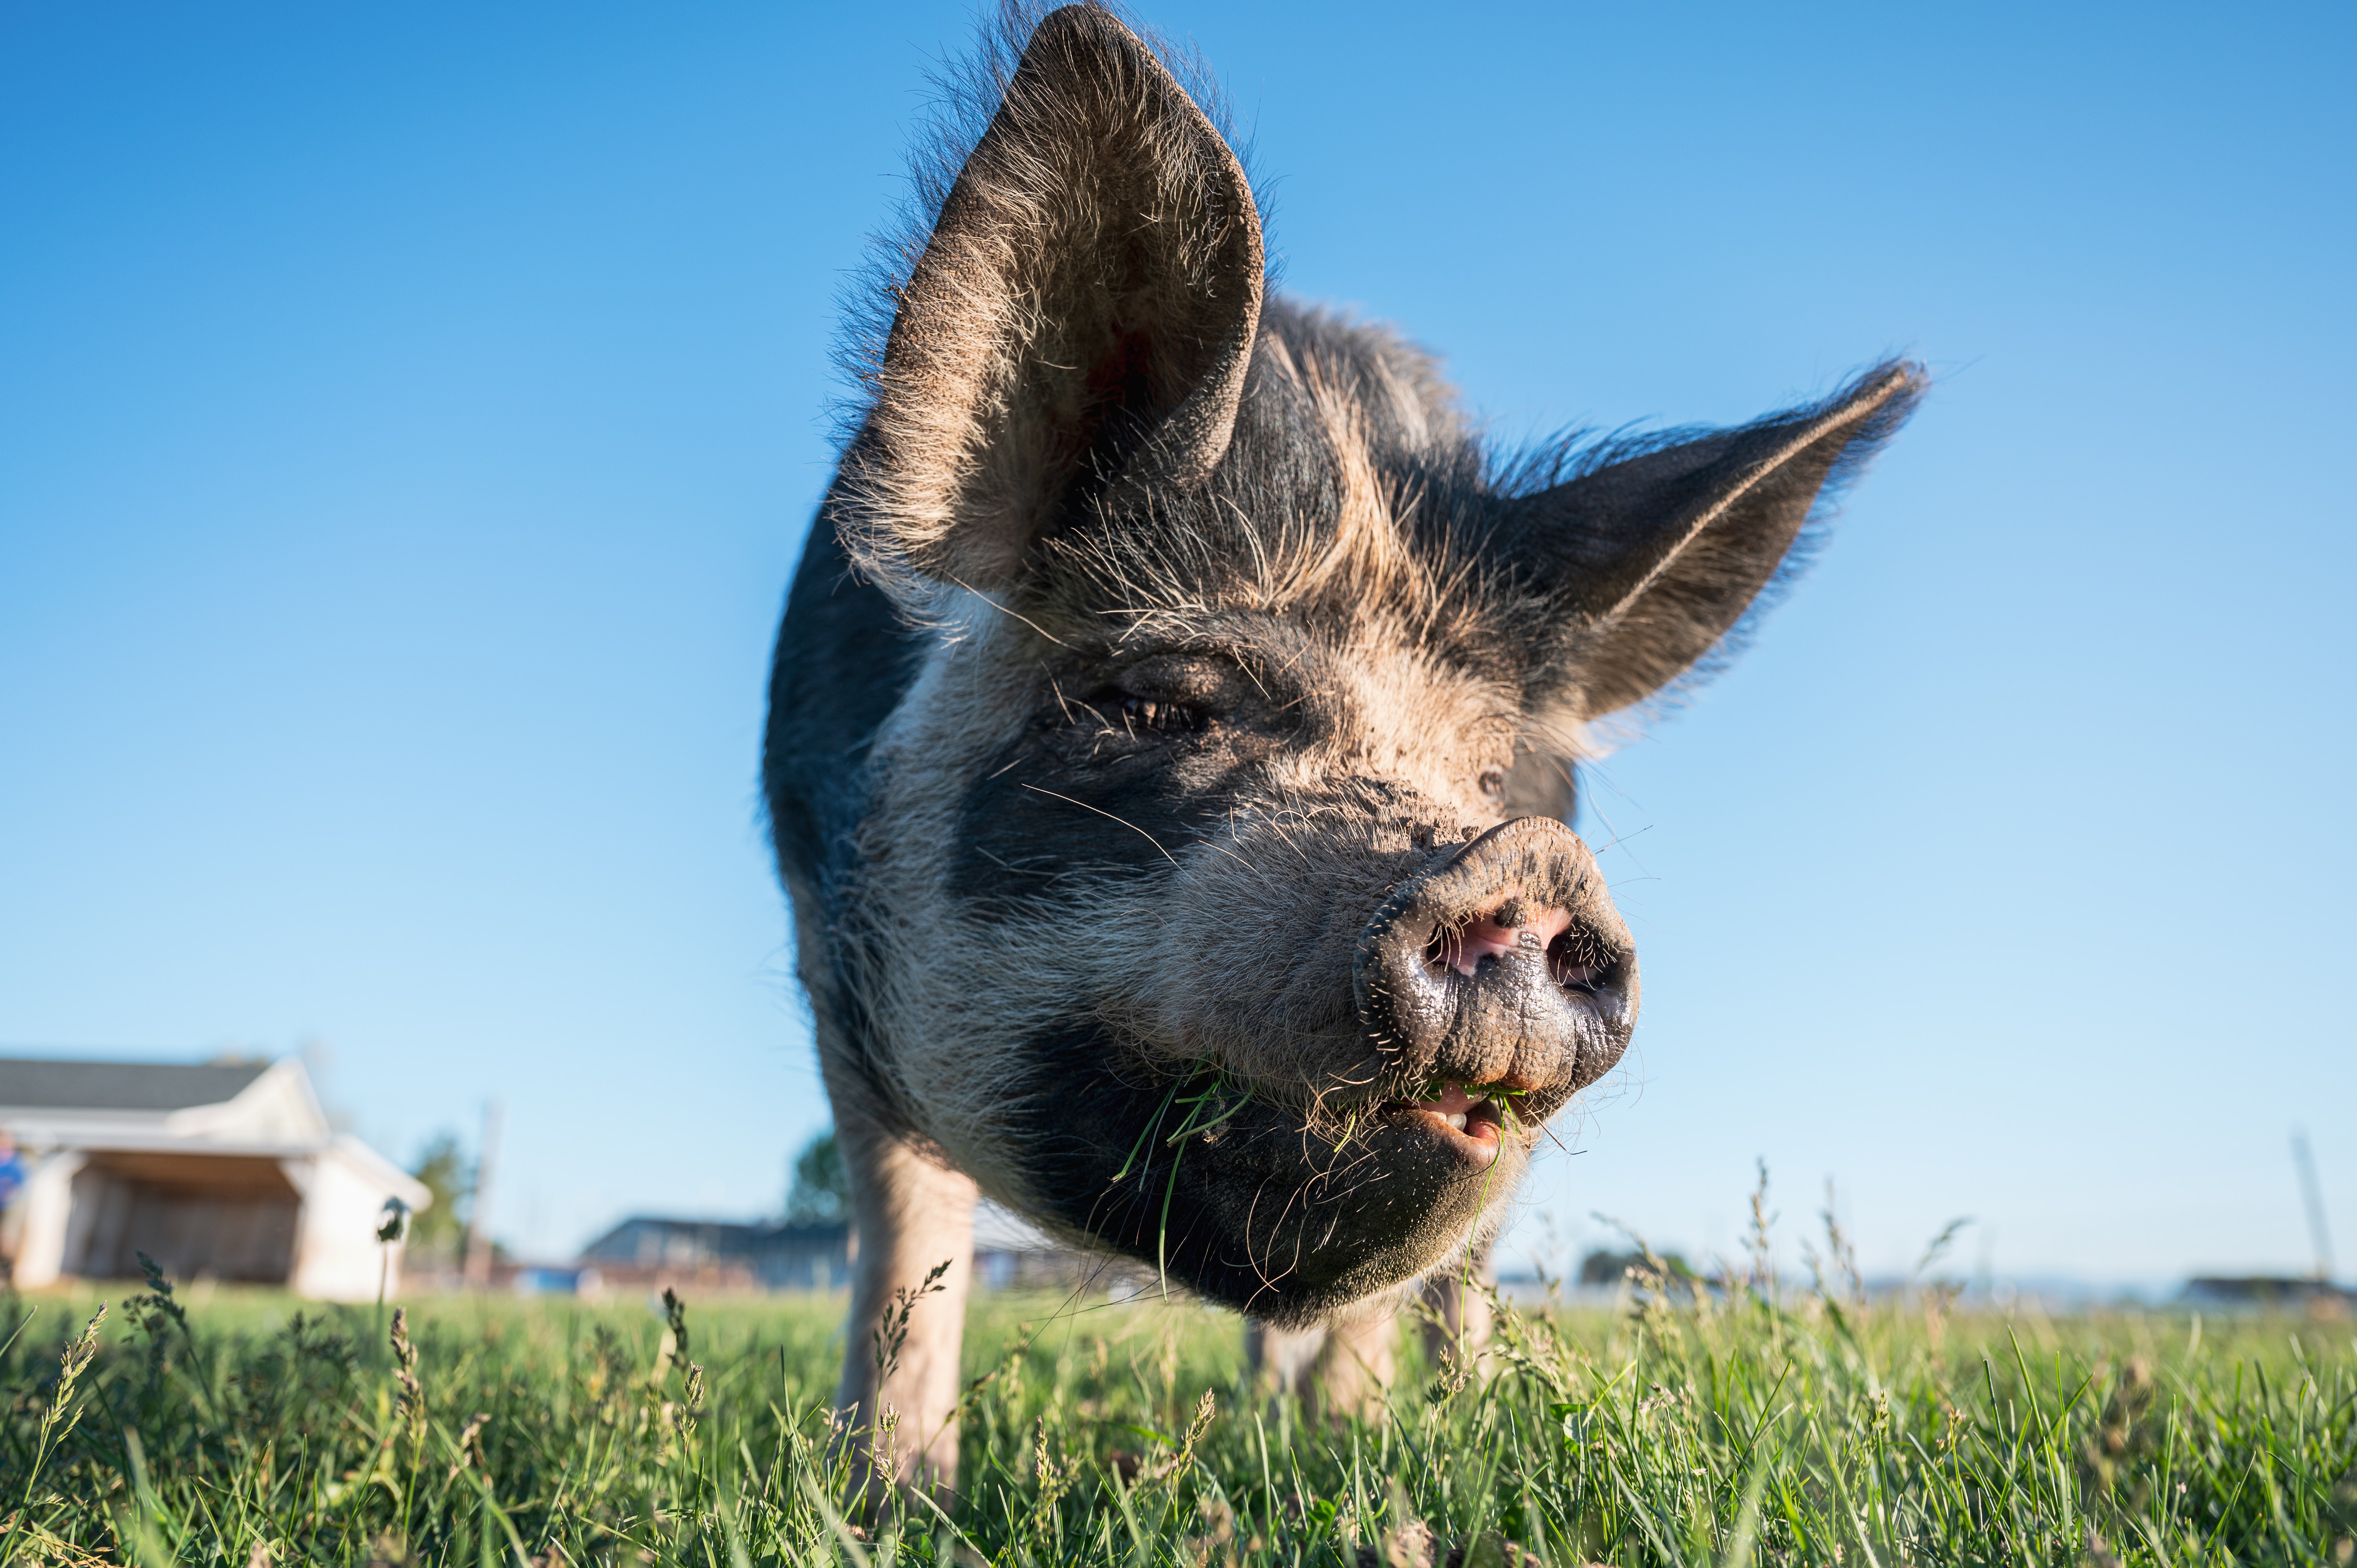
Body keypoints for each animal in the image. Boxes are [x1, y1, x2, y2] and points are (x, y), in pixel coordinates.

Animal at [763, 0, 1923, 1490]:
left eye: (1489, 777)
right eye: (1163, 704)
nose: (1525, 861)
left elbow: (1393, 1289)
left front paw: (1355, 1463)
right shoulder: (827, 943)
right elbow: (907, 1237)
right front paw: (892, 1500)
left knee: (1461, 1280)